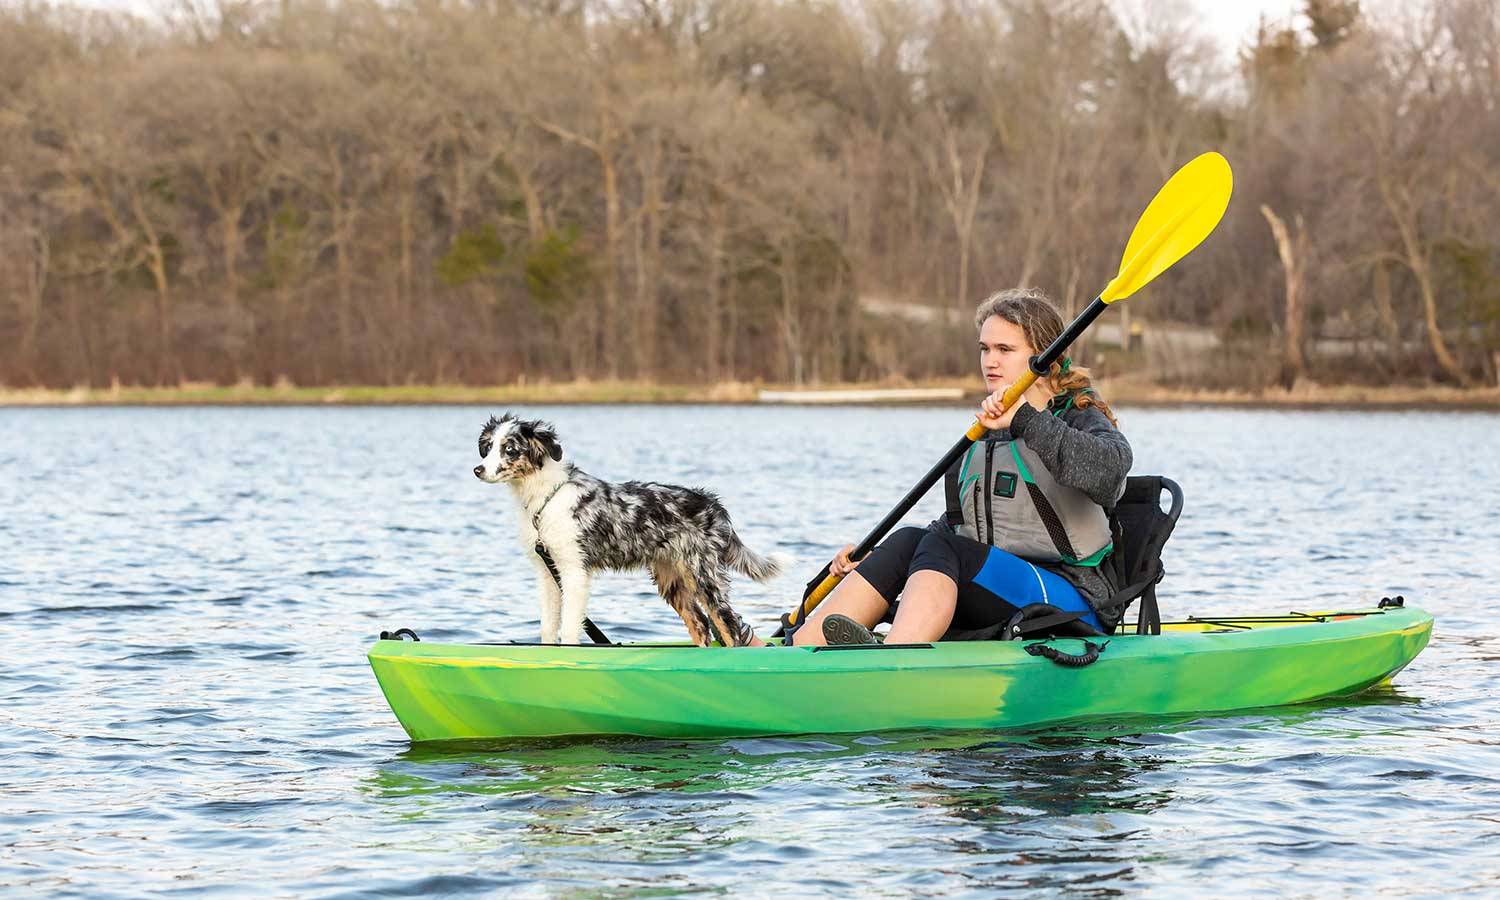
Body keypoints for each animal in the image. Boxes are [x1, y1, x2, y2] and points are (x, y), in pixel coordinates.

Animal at [474, 414, 792, 648]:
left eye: (510, 449)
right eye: (488, 447)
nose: (478, 470)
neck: (546, 496)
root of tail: (714, 505)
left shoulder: (574, 571)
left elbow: (570, 628)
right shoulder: (548, 572)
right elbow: (547, 628)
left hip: (703, 574)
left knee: (728, 624)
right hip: (671, 579)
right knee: (701, 625)